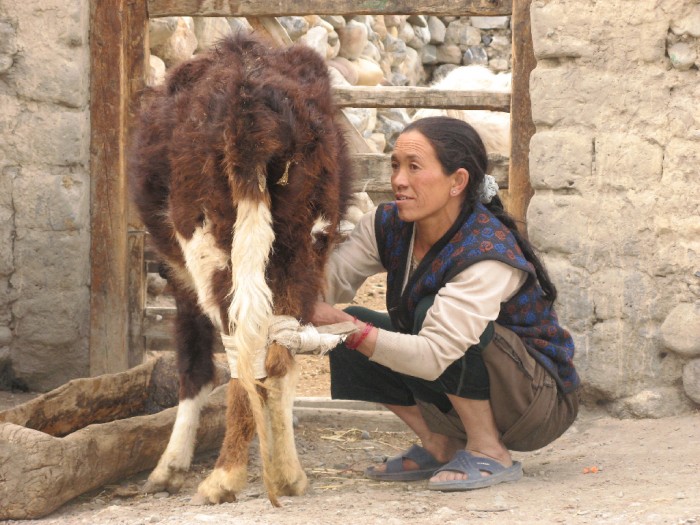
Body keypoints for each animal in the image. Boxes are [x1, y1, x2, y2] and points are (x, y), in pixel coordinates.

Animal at [129, 32, 352, 504]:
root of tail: (251, 103)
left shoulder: (182, 283)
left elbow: (195, 364)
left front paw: (169, 468)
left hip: (209, 243)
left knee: (240, 346)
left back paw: (225, 475)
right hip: (304, 244)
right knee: (280, 345)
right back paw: (287, 473)